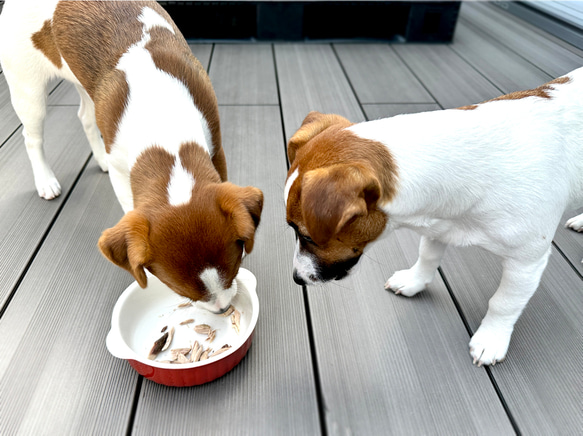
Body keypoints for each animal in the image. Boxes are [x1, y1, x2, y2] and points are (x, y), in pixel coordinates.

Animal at [0, 0, 264, 314]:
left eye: (235, 267)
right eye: (180, 292)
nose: (223, 309)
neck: (162, 120)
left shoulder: (216, 144)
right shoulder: (121, 173)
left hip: (86, 88)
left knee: (85, 117)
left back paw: (98, 158)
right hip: (28, 91)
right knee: (32, 138)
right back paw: (45, 180)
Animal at [286, 70, 583, 364]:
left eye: (307, 235)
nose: (296, 279)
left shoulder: (527, 262)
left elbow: (503, 303)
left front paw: (491, 339)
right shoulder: (441, 224)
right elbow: (427, 257)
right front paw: (413, 281)